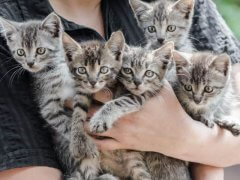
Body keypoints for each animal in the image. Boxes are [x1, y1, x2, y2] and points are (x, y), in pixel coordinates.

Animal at [0, 12, 78, 179]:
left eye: (41, 50)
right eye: (21, 52)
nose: (30, 63)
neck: (54, 68)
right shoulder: (48, 107)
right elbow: (67, 125)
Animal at [62, 31, 124, 180]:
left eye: (104, 69)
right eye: (82, 70)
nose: (93, 82)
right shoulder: (82, 91)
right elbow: (78, 112)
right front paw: (76, 141)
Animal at [88, 42, 191, 180]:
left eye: (149, 73)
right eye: (127, 70)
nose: (137, 82)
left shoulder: (141, 96)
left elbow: (117, 102)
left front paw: (100, 120)